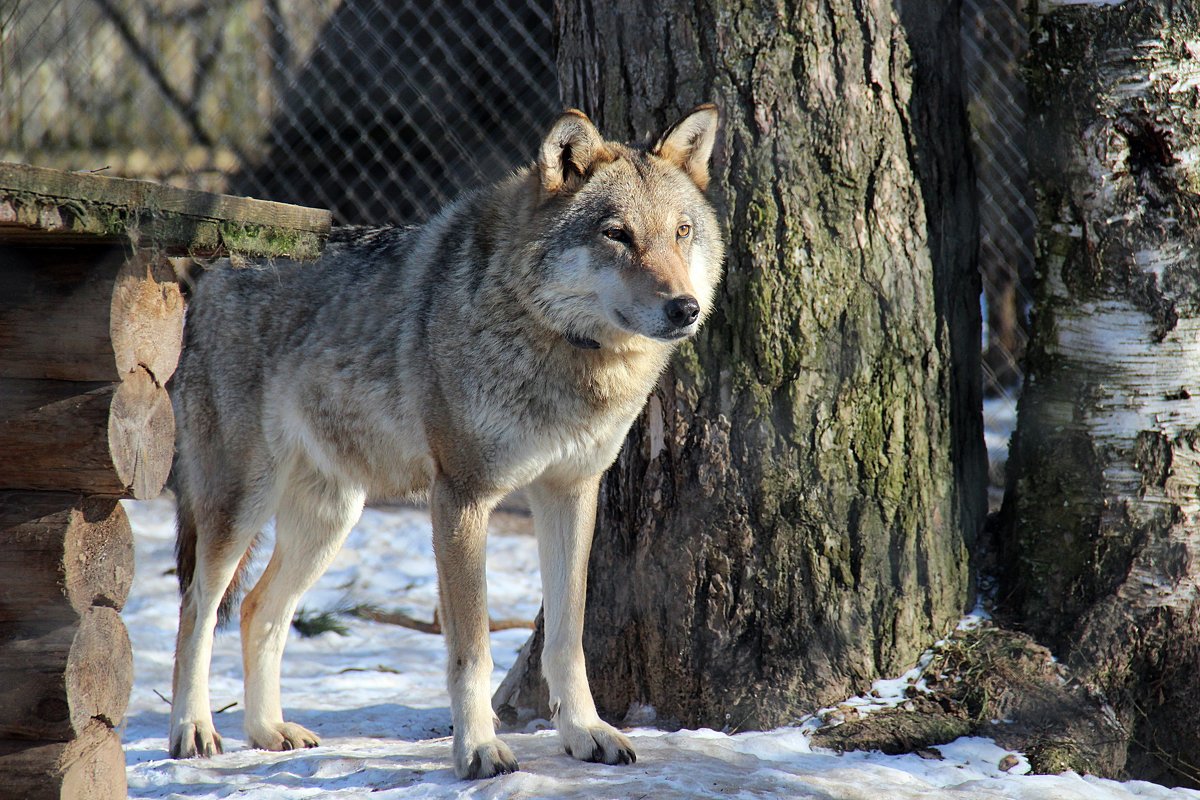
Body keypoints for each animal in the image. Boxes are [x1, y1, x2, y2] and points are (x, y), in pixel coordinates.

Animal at [170, 103, 724, 777]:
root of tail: (214, 270)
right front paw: (479, 749)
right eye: (616, 234)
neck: (560, 348)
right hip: (242, 506)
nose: (685, 308)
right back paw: (194, 732)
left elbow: (567, 638)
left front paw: (586, 732)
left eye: (681, 232)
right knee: (197, 609)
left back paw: (268, 730)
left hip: (331, 519)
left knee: (256, 611)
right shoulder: (461, 497)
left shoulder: (571, 492)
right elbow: (472, 650)